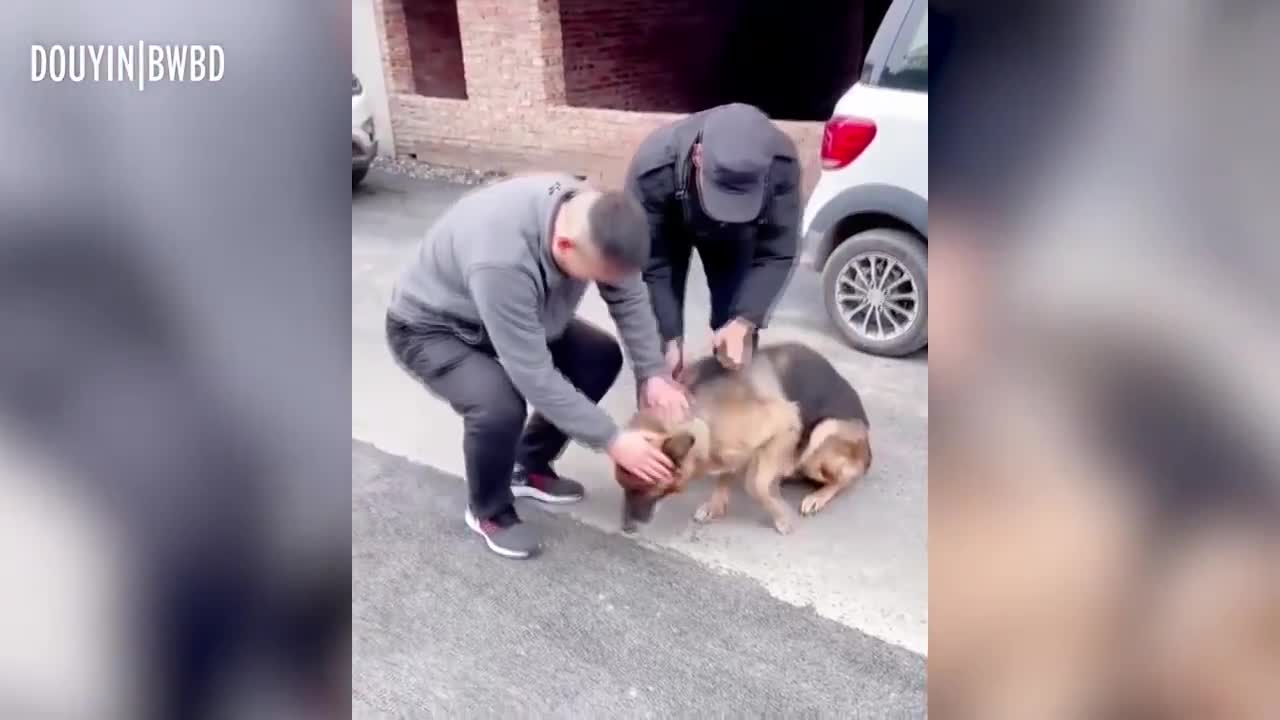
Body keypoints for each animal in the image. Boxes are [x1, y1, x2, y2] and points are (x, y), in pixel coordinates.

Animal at [616, 340, 875, 532]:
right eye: (625, 489)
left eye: (645, 489)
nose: (626, 529)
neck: (705, 419)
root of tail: (867, 450)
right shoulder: (732, 450)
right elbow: (727, 474)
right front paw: (716, 506)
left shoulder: (785, 421)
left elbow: (756, 485)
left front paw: (781, 517)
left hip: (823, 433)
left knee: (846, 478)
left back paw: (817, 496)